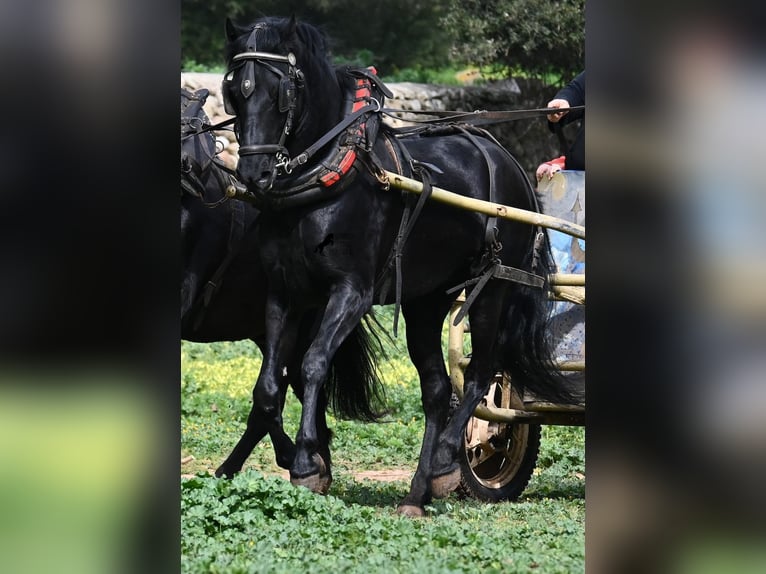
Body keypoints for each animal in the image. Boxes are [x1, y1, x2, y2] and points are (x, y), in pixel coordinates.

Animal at [222, 16, 582, 516]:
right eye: (234, 90)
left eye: (281, 92)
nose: (253, 176)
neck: (326, 173)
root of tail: (510, 163)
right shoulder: (284, 294)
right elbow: (269, 385)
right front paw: (302, 460)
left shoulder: (351, 292)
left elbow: (313, 364)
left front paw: (308, 463)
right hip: (425, 302)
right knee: (436, 389)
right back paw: (418, 492)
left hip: (492, 287)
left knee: (479, 373)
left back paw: (449, 459)